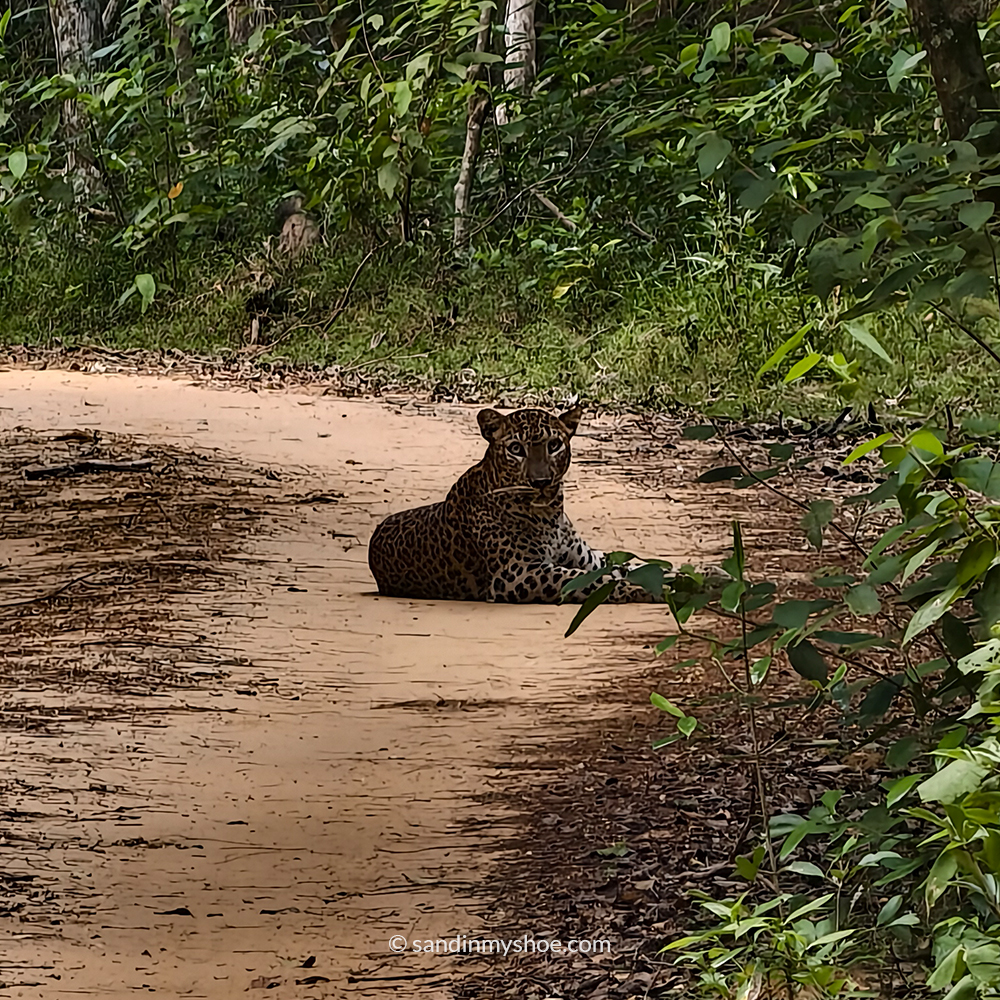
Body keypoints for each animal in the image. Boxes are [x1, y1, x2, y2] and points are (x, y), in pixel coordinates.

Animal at [367, 405, 663, 604]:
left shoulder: (587, 558)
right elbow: (585, 580)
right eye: (516, 449)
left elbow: (625, 567)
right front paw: (643, 589)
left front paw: (662, 575)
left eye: (554, 445)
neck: (550, 513)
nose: (541, 482)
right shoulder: (516, 572)